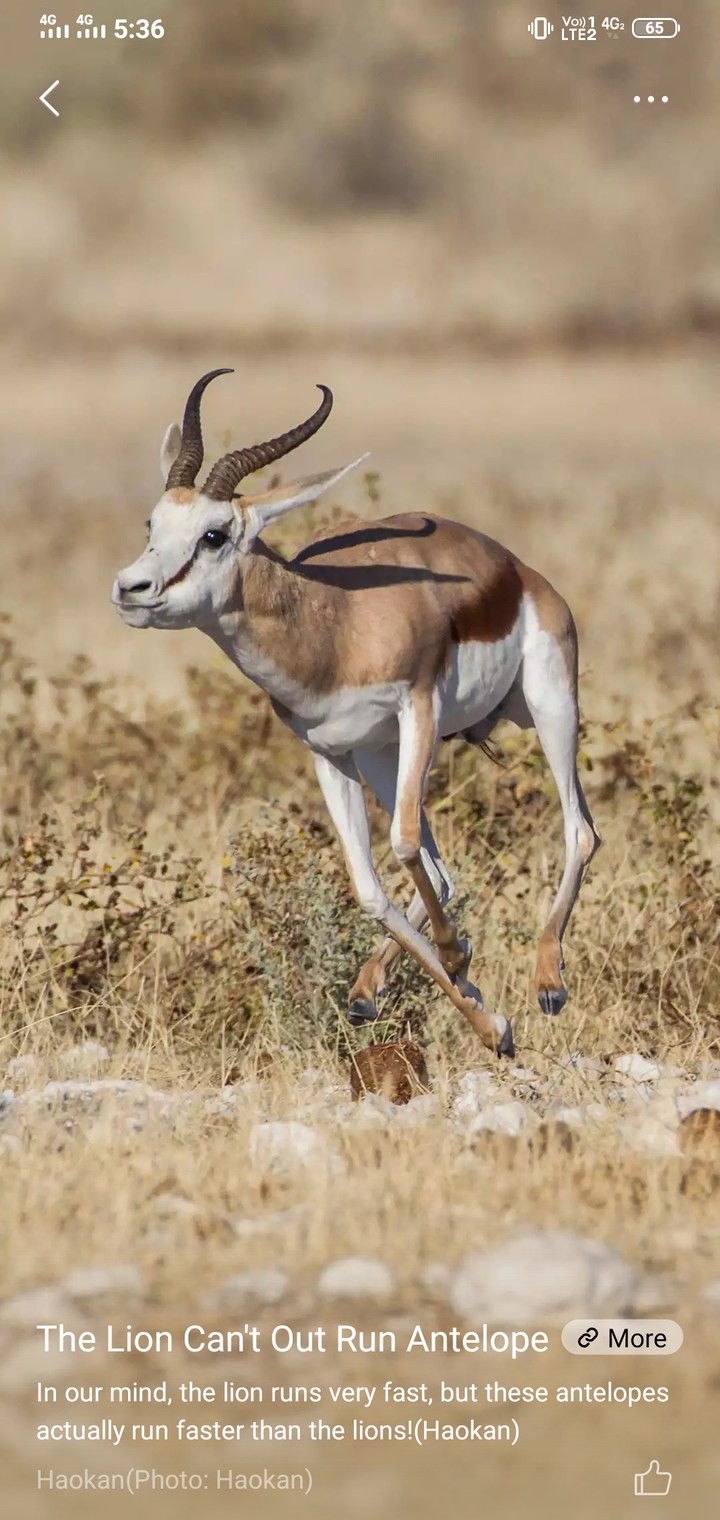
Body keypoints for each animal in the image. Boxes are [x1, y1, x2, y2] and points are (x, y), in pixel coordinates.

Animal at [113, 371, 600, 1058]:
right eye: (152, 522)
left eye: (214, 534)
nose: (131, 589)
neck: (334, 625)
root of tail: (518, 568)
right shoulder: (331, 752)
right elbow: (370, 887)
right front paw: (488, 1019)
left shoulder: (417, 707)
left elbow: (401, 843)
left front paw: (459, 958)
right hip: (382, 757)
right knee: (442, 876)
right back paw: (373, 992)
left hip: (548, 704)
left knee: (578, 830)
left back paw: (547, 981)